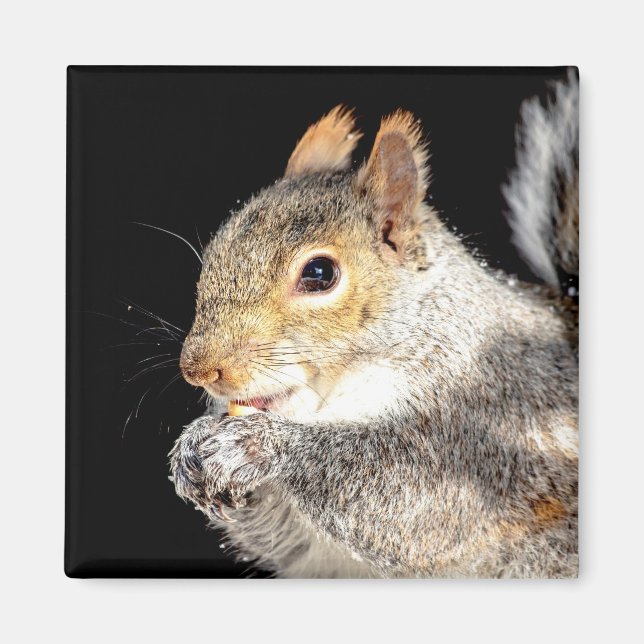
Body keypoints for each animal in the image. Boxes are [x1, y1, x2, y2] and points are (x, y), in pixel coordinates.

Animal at [169, 73, 579, 578]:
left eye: (319, 273)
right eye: (214, 253)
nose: (198, 370)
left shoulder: (485, 427)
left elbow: (411, 499)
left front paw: (255, 446)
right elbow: (282, 537)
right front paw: (191, 448)